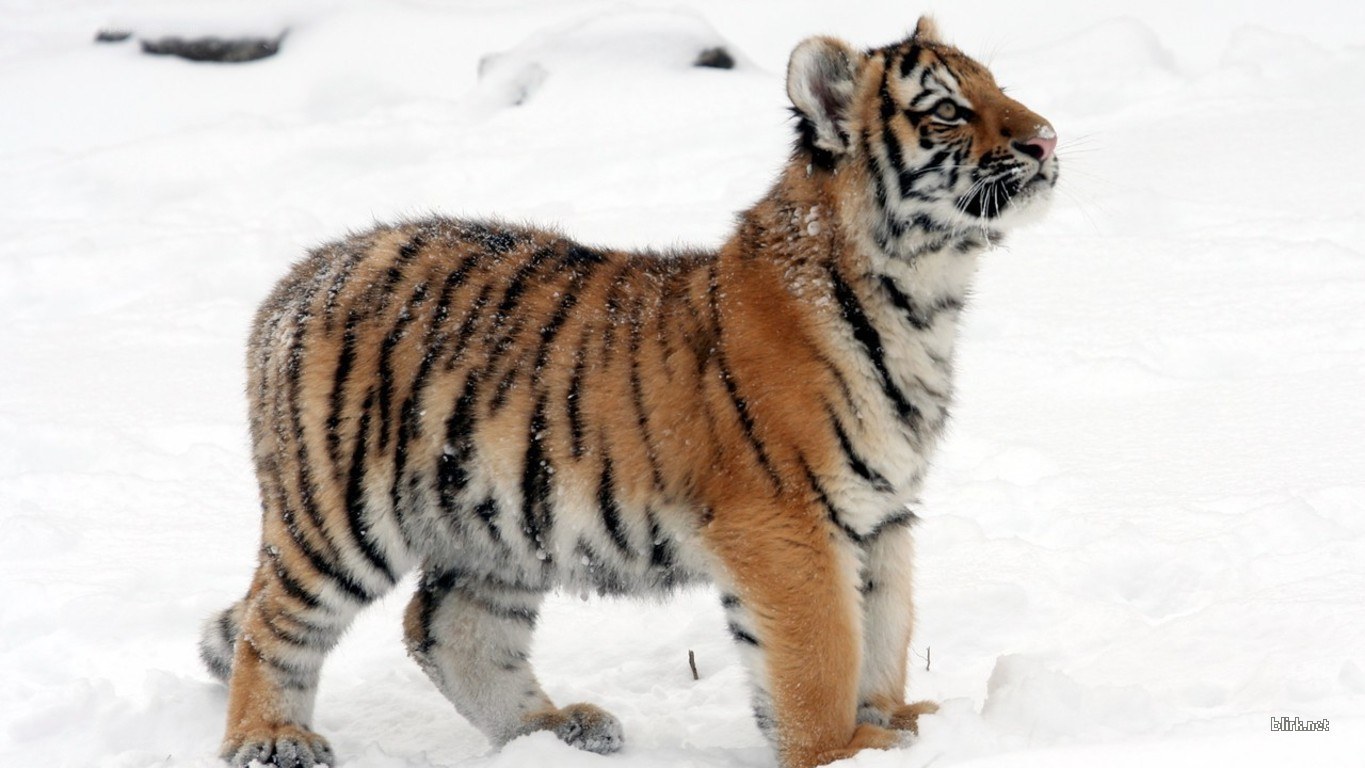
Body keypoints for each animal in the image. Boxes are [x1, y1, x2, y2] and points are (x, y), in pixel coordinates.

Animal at [199, 15, 1058, 768]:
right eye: (946, 110)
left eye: (998, 87)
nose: (1045, 139)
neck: (924, 297)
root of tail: (301, 276)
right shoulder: (789, 523)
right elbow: (821, 654)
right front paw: (840, 750)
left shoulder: (882, 516)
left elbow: (885, 629)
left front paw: (900, 724)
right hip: (337, 511)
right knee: (274, 624)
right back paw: (270, 739)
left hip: (496, 524)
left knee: (445, 626)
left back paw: (553, 731)